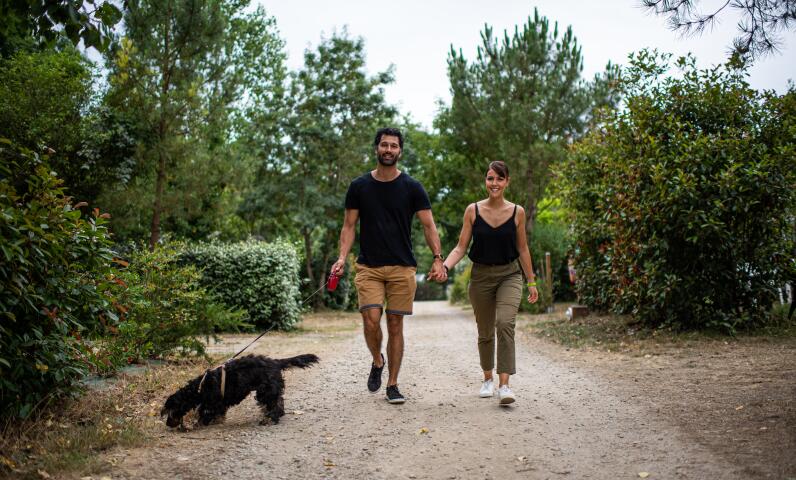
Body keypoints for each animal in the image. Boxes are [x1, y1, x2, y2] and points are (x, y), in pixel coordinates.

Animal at [161, 353, 319, 428]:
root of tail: (275, 362)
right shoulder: (218, 403)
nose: (168, 424)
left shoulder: (212, 403)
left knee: (275, 405)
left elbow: (205, 413)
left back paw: (269, 418)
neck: (200, 387)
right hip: (268, 390)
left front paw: (199, 423)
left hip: (264, 391)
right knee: (278, 402)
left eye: (171, 411)